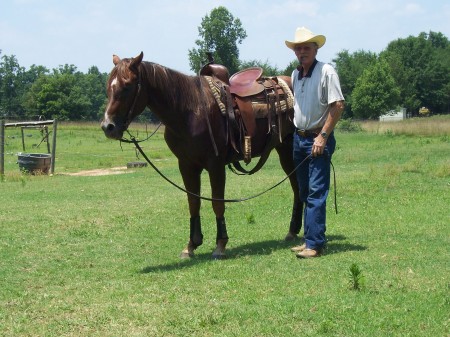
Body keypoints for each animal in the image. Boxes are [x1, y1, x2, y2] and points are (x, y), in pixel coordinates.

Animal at [100, 51, 300, 258]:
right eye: (108, 86)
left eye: (127, 86)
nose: (108, 127)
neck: (189, 111)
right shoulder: (186, 165)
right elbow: (193, 202)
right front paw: (191, 244)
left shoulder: (215, 165)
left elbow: (217, 203)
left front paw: (220, 244)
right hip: (285, 150)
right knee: (297, 187)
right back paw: (292, 231)